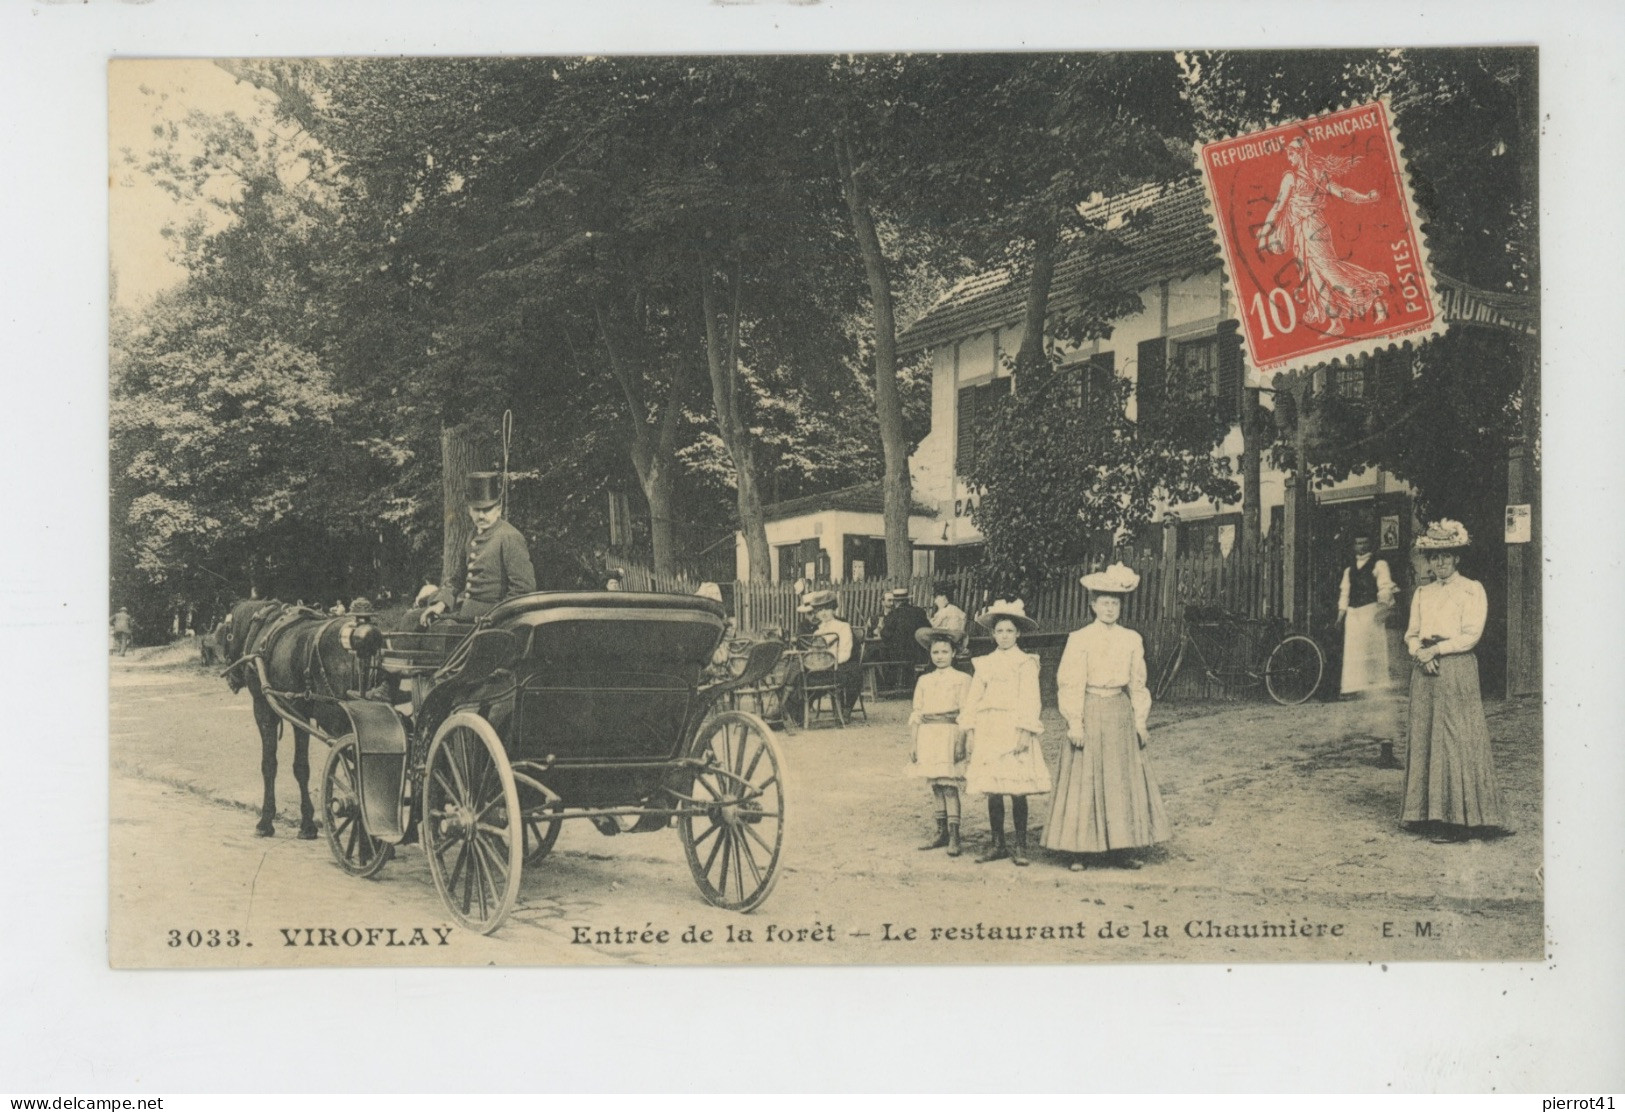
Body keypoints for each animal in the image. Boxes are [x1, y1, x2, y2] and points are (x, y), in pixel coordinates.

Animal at [214, 598, 367, 832]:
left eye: (227, 635)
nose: (231, 678)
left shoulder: (265, 709)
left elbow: (270, 764)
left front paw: (266, 820)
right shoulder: (300, 715)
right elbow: (301, 767)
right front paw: (308, 823)